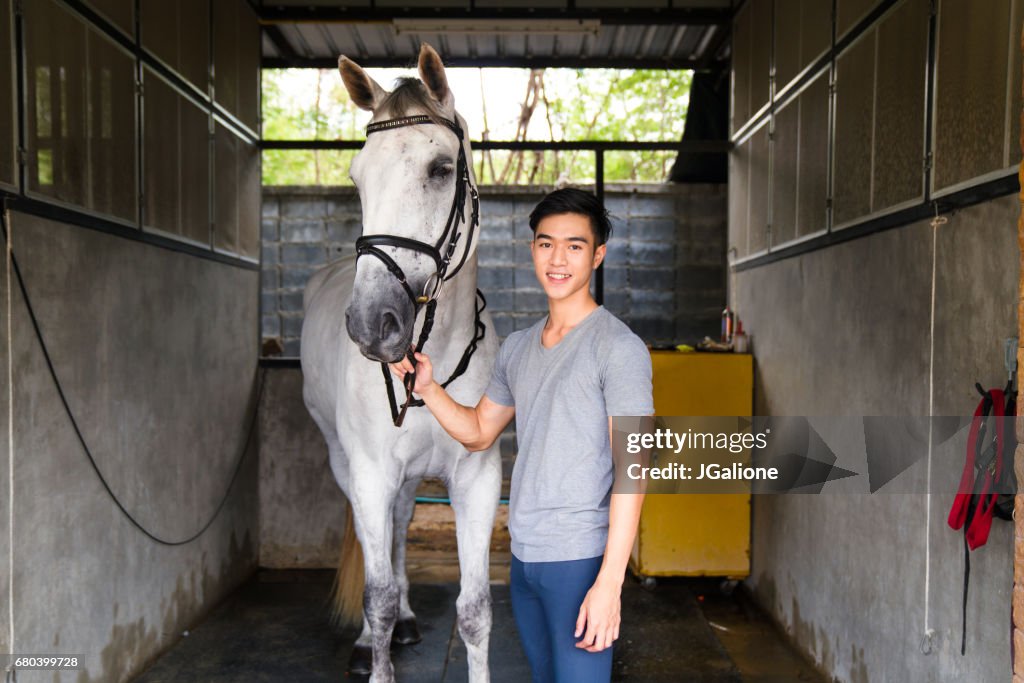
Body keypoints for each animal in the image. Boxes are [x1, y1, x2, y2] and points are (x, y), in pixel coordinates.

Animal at [299, 44, 501, 683]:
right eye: (358, 178)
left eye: (440, 168)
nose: (372, 323)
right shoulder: (370, 473)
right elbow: (377, 596)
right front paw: (376, 644)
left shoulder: (478, 479)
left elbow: (476, 609)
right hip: (346, 462)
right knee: (376, 548)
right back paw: (372, 639)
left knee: (400, 524)